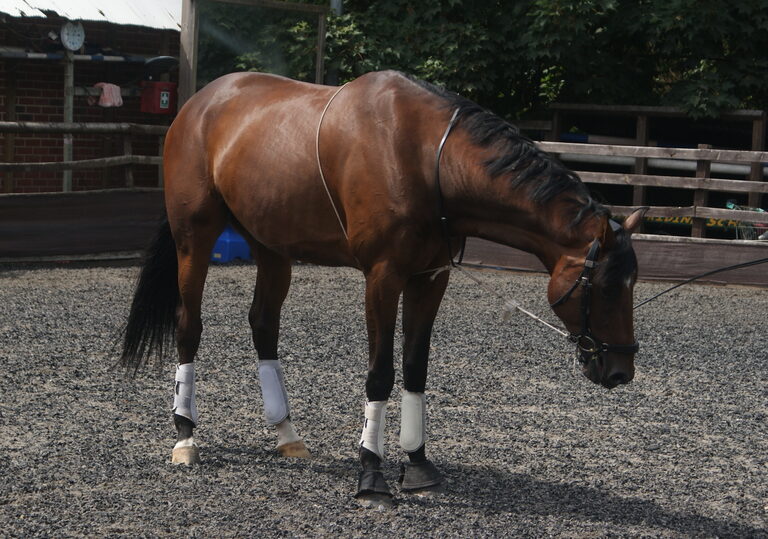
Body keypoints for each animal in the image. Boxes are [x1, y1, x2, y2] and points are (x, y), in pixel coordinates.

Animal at [120, 70, 646, 504]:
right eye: (606, 287)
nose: (621, 370)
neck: (427, 159)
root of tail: (199, 102)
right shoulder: (383, 276)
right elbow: (381, 373)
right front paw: (371, 474)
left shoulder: (430, 278)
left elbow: (415, 368)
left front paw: (417, 464)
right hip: (195, 237)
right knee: (189, 325)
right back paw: (185, 435)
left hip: (271, 246)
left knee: (263, 325)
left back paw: (286, 432)